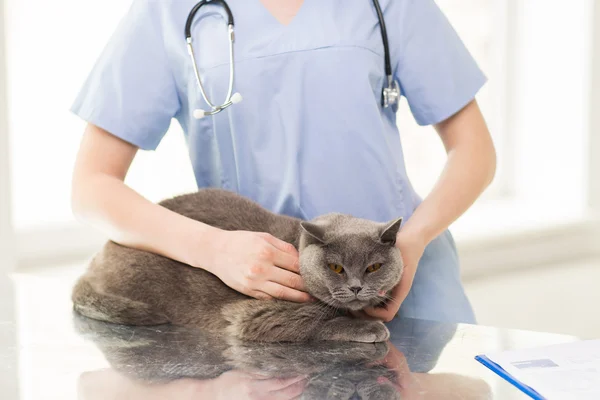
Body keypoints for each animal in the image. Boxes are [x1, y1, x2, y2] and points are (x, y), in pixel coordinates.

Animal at [71, 189, 404, 342]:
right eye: (336, 268)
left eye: (373, 267)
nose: (356, 287)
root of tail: (95, 261)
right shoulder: (260, 315)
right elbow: (321, 323)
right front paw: (369, 327)